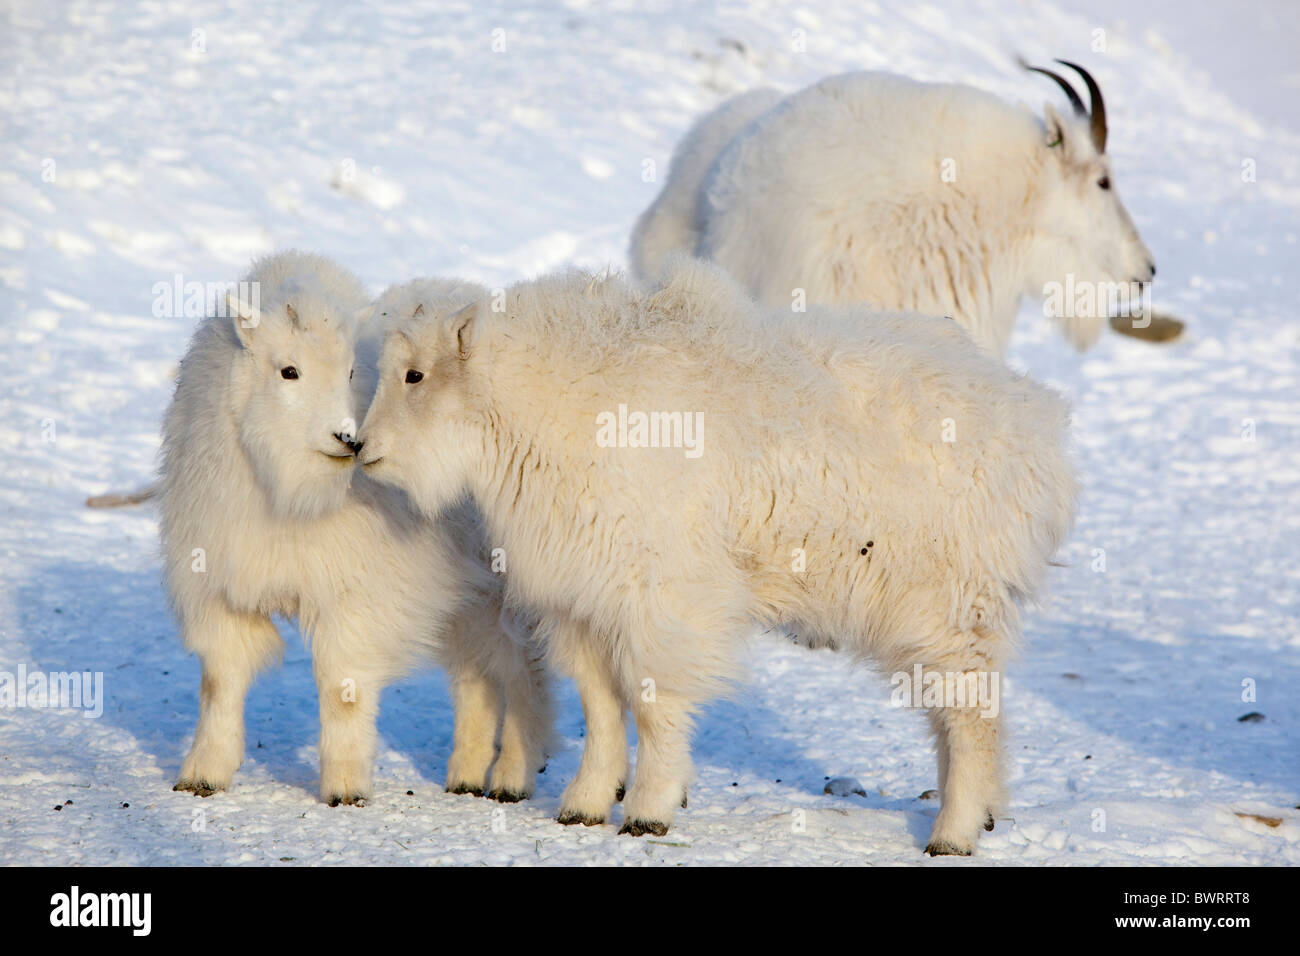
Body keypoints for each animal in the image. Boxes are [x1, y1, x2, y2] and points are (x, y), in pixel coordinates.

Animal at [356, 257, 1076, 858]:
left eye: (414, 374)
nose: (362, 448)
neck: (547, 407)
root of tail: (1035, 424)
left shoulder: (660, 595)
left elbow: (653, 703)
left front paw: (649, 811)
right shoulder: (582, 600)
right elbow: (599, 705)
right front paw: (585, 805)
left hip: (947, 599)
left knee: (969, 710)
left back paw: (954, 832)